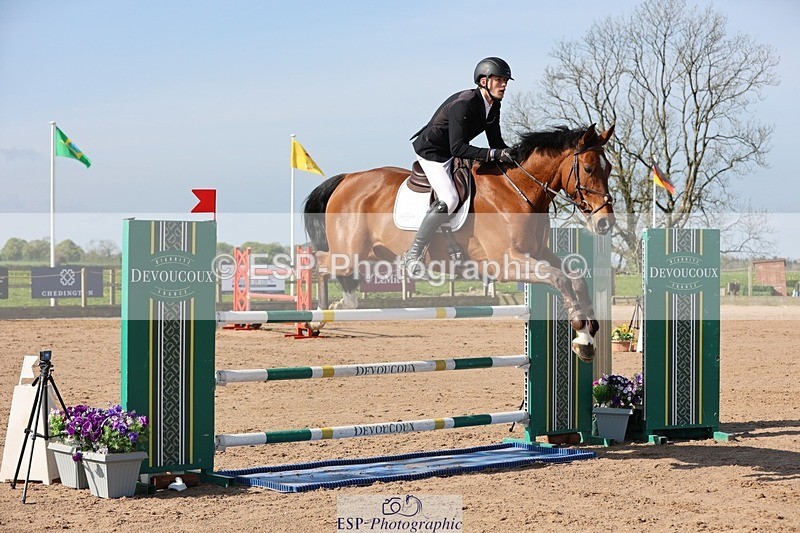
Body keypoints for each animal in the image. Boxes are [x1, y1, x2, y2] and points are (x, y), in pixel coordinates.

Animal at [303, 124, 615, 361]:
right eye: (589, 168)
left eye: (609, 168)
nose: (605, 223)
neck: (518, 190)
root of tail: (346, 179)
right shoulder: (506, 263)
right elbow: (560, 280)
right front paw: (580, 331)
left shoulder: (539, 253)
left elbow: (575, 279)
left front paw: (587, 337)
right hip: (350, 252)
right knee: (319, 262)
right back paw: (316, 317)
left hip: (373, 253)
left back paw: (341, 304)